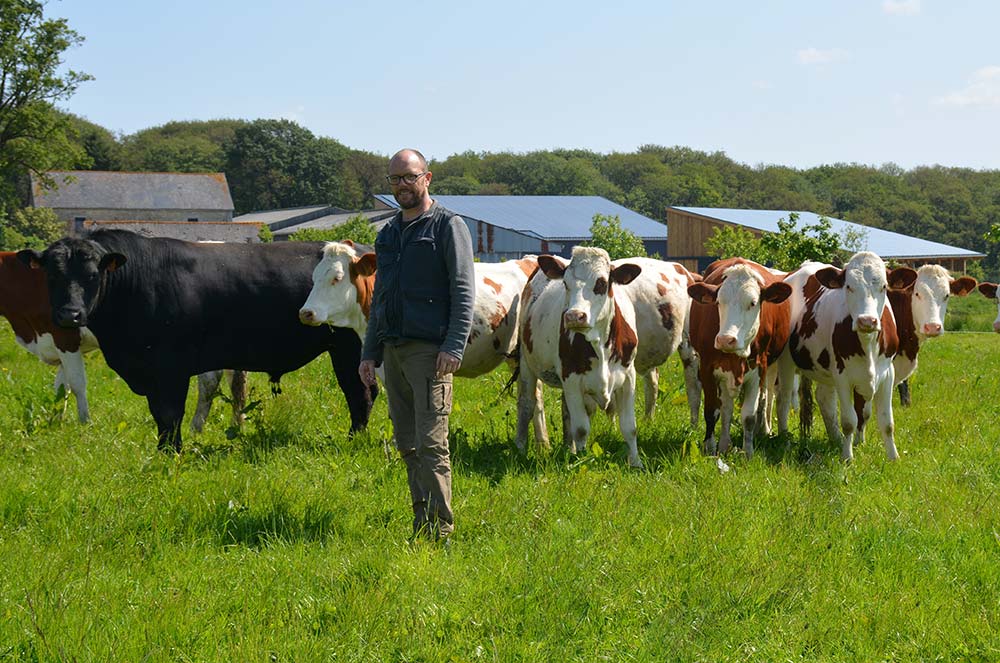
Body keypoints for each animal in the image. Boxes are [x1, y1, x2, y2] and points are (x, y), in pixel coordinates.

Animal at [21, 228, 376, 452]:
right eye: (52, 274)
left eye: (93, 275)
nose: (70, 314)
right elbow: (160, 415)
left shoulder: (170, 369)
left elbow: (169, 415)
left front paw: (170, 454)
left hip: (349, 348)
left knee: (359, 393)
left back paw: (354, 438)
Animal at [512, 246, 644, 470]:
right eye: (565, 283)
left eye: (601, 283)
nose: (574, 316)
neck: (600, 344)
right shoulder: (571, 379)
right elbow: (581, 428)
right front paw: (581, 461)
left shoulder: (628, 377)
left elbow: (630, 427)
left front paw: (635, 463)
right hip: (527, 364)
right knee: (527, 405)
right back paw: (520, 447)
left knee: (566, 412)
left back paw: (568, 447)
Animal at [684, 258, 792, 456]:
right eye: (718, 302)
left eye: (753, 302)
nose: (726, 339)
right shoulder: (707, 367)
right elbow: (712, 411)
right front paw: (710, 448)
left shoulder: (759, 368)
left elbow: (749, 415)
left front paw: (748, 452)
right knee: (726, 406)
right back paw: (724, 444)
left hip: (772, 367)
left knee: (765, 398)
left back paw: (763, 430)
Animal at [776, 252, 916, 464]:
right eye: (849, 286)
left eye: (884, 286)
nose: (867, 321)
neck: (867, 343)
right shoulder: (842, 376)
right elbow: (850, 420)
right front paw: (847, 457)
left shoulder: (886, 373)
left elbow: (883, 421)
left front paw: (891, 456)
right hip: (786, 361)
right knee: (783, 398)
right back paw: (784, 438)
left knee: (824, 399)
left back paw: (835, 438)